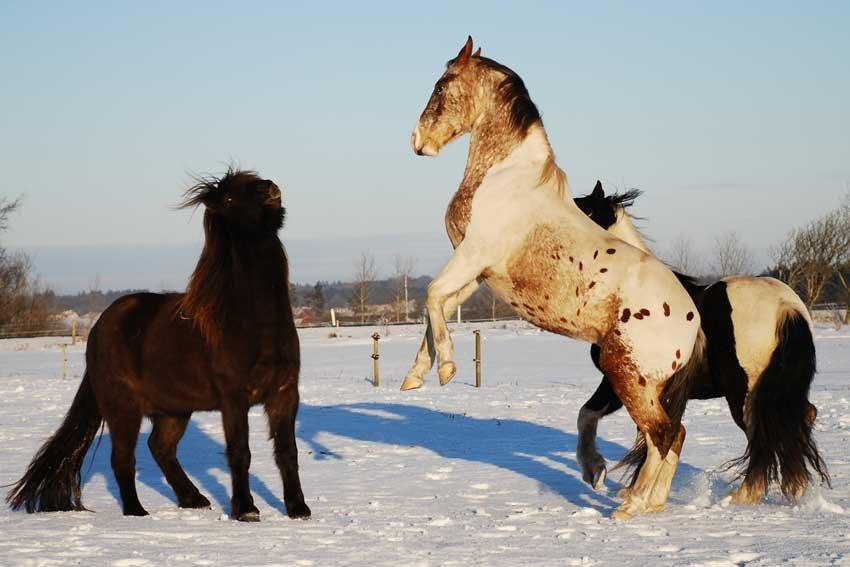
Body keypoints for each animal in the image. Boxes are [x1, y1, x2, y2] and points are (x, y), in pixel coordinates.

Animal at [4, 170, 310, 524]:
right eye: (230, 198)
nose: (269, 188)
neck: (254, 322)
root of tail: (100, 327)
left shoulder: (284, 393)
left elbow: (288, 451)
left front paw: (299, 509)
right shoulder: (234, 397)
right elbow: (240, 451)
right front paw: (246, 510)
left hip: (173, 410)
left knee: (160, 447)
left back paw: (194, 499)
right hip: (123, 408)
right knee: (124, 458)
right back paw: (137, 511)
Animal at [404, 37, 704, 520]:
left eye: (441, 86)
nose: (418, 142)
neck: (503, 180)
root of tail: (693, 318)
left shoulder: (472, 256)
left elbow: (431, 296)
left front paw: (447, 369)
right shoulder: (478, 273)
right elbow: (437, 310)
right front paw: (417, 373)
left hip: (628, 377)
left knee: (662, 435)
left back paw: (631, 505)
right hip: (646, 385)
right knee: (672, 435)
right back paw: (645, 500)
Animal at [568, 183, 828, 506]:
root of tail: (785, 306)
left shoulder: (622, 380)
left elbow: (608, 420)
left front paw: (604, 476)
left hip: (745, 395)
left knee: (764, 435)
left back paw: (742, 495)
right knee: (799, 418)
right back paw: (796, 489)